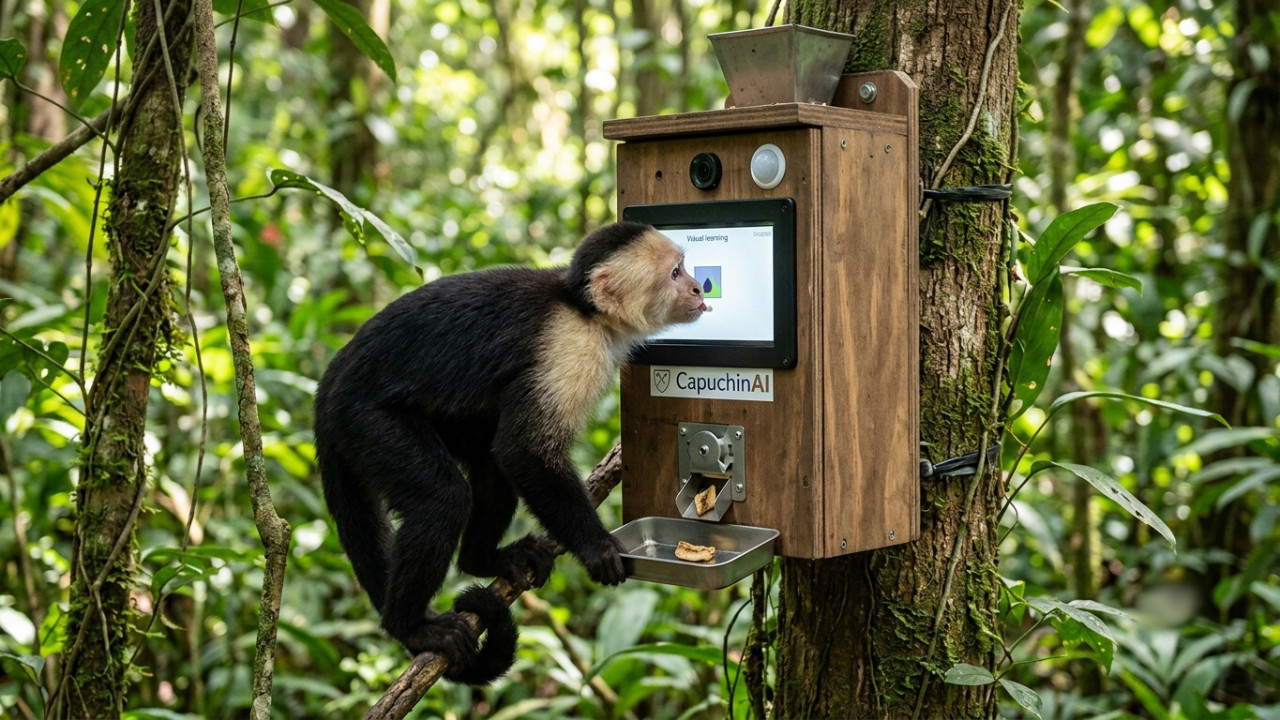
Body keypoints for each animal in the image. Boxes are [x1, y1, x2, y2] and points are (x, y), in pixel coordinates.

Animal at [313, 221, 707, 684]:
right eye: (675, 273)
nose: (700, 287)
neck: (584, 310)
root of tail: (328, 384)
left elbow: (507, 457)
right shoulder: (569, 349)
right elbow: (524, 451)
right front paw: (596, 547)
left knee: (490, 469)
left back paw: (482, 560)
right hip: (364, 419)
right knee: (443, 498)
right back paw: (410, 626)